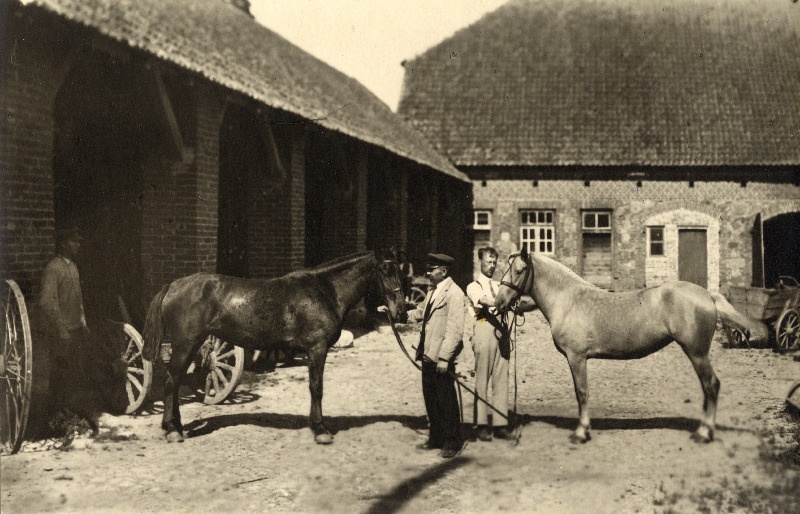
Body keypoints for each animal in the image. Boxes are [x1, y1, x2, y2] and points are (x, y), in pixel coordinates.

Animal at [141, 250, 404, 442]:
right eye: (386, 272)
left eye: (398, 271)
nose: (401, 312)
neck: (324, 291)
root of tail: (173, 286)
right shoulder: (317, 348)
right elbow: (316, 387)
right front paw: (320, 430)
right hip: (186, 344)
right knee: (171, 381)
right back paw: (172, 430)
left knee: (175, 382)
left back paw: (175, 427)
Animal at [494, 247, 764, 440]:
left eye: (519, 270)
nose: (499, 302)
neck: (568, 299)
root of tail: (707, 294)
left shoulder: (577, 357)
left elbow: (582, 392)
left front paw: (581, 432)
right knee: (707, 387)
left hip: (697, 353)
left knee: (711, 385)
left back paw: (704, 433)